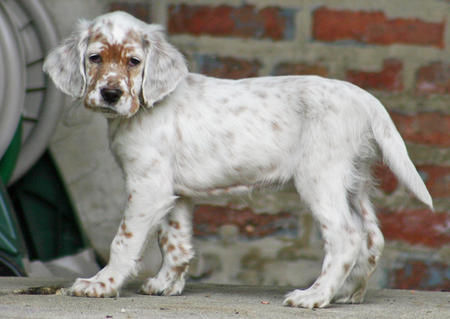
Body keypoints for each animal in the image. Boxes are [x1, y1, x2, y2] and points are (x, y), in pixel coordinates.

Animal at [43, 12, 432, 310]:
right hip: (354, 182)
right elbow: (175, 242)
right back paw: (347, 293)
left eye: (133, 61)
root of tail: (364, 98)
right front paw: (166, 284)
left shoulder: (147, 187)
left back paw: (315, 296)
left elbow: (123, 241)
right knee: (372, 237)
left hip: (320, 178)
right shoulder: (173, 192)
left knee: (347, 236)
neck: (145, 107)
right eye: (95, 58)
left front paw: (101, 283)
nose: (110, 94)